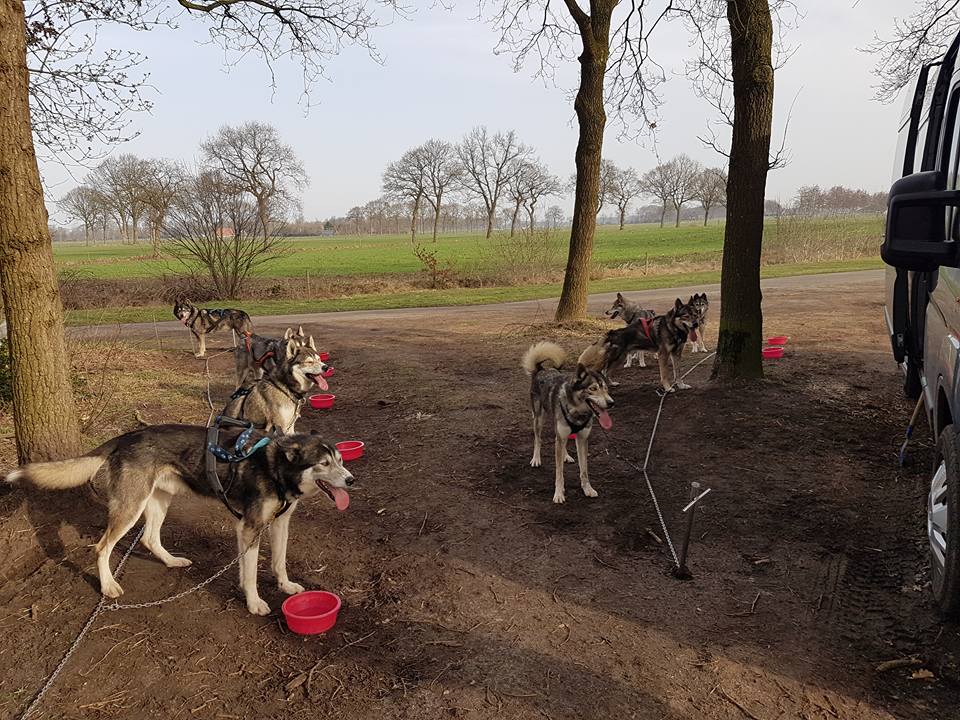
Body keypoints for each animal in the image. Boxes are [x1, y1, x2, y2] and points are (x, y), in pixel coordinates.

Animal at [5, 424, 354, 616]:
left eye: (339, 459)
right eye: (323, 464)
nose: (351, 480)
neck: (275, 467)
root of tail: (127, 436)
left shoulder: (280, 523)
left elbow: (279, 562)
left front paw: (285, 585)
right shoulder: (249, 527)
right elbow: (252, 573)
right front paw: (254, 602)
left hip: (159, 502)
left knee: (149, 538)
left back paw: (172, 561)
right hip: (131, 508)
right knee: (102, 547)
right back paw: (108, 586)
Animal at [524, 344, 616, 506]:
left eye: (606, 388)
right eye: (593, 388)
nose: (611, 403)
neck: (578, 411)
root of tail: (541, 370)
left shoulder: (582, 439)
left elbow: (584, 469)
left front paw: (587, 488)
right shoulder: (560, 436)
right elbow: (559, 472)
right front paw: (559, 493)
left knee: (562, 443)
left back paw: (566, 456)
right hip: (539, 419)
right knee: (538, 439)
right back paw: (536, 459)